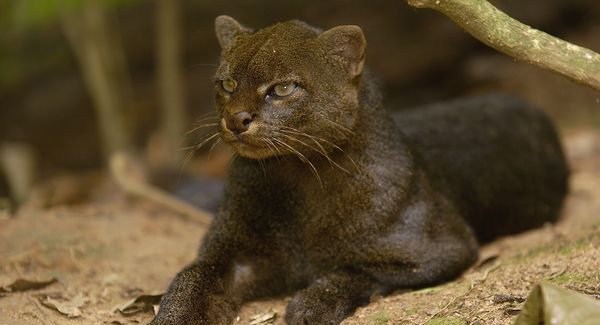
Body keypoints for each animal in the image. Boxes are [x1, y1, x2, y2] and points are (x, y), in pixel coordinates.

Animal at [149, 15, 568, 324]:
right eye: (227, 83)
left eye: (283, 88)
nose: (236, 119)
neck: (297, 181)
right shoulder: (231, 252)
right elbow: (191, 277)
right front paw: (173, 316)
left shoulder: (440, 246)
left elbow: (359, 268)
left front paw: (310, 305)